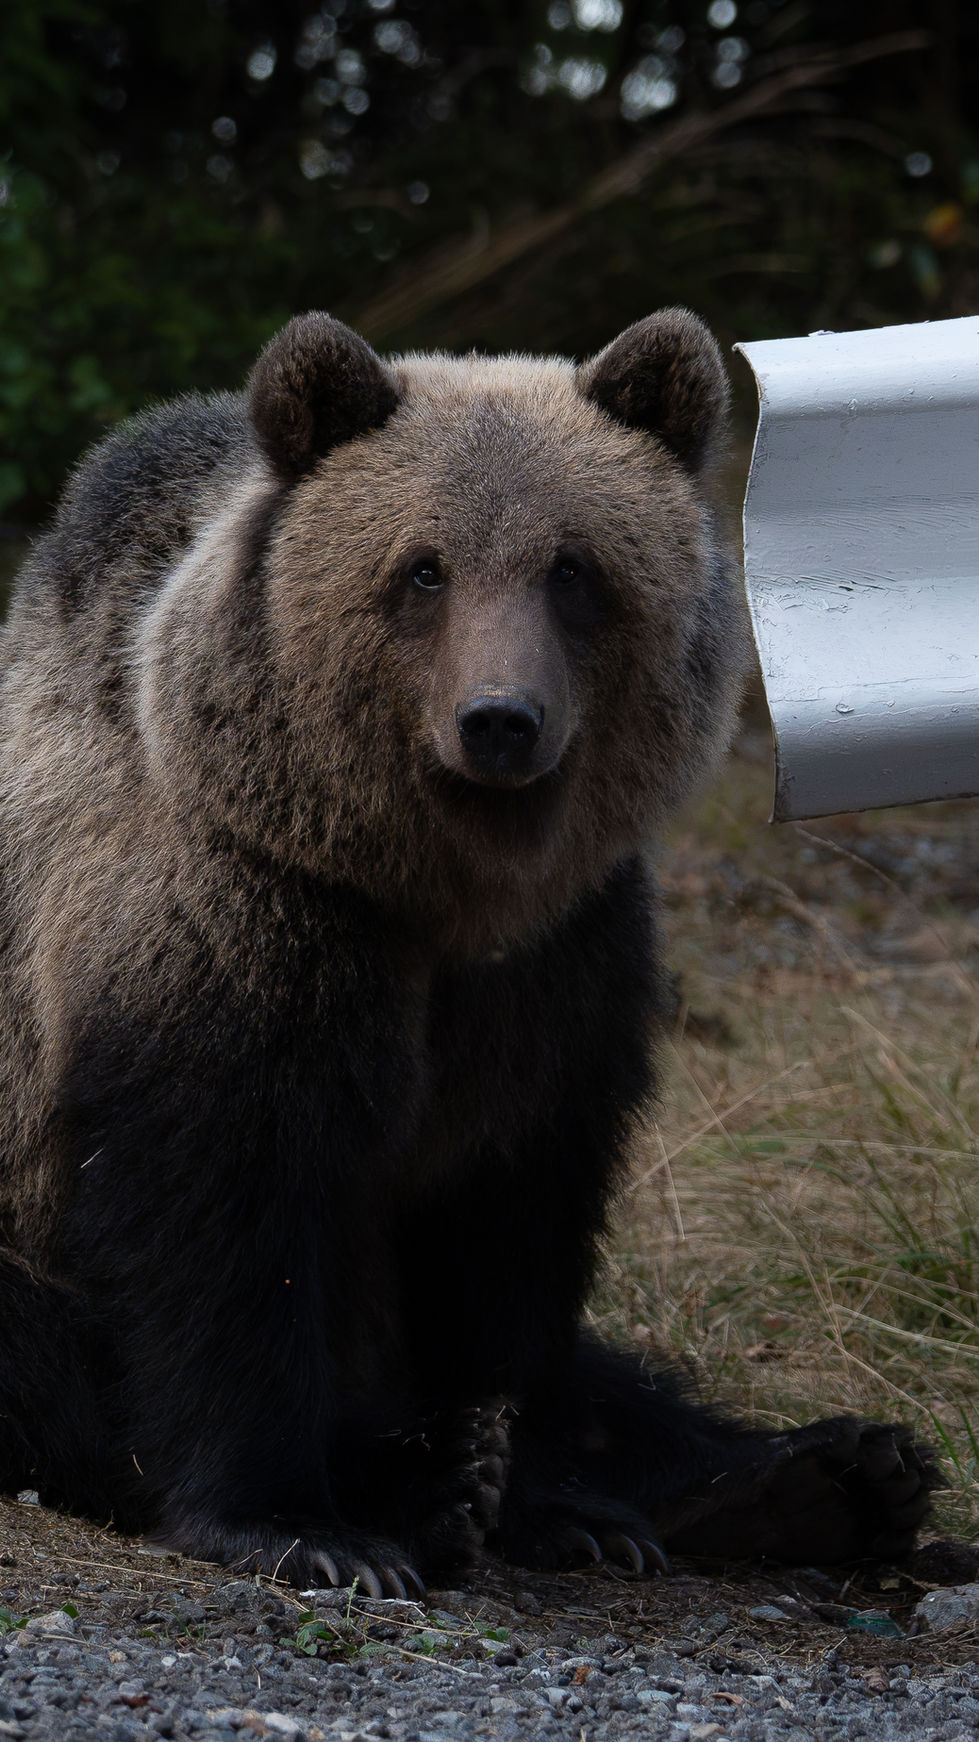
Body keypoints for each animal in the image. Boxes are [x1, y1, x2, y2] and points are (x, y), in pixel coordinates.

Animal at [0, 309, 935, 1598]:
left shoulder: (559, 965)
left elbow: (513, 1228)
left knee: (624, 1381)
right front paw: (305, 1519)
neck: (436, 890)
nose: (500, 719)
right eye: (423, 567)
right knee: (44, 1358)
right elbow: (224, 1222)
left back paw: (823, 1474)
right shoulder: (229, 917)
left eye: (573, 567)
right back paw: (423, 1475)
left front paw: (551, 1498)